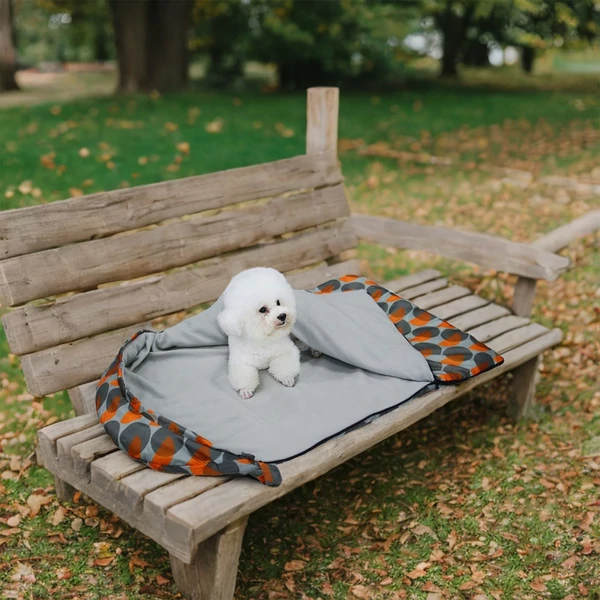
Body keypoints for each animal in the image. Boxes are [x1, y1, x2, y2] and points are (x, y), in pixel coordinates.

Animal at [217, 268, 302, 398]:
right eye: (262, 309)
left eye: (278, 302)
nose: (282, 315)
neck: (262, 337)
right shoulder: (239, 361)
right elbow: (243, 375)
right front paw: (245, 390)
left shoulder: (285, 350)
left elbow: (284, 364)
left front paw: (287, 378)